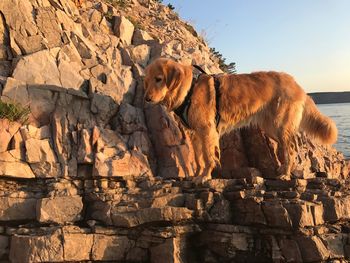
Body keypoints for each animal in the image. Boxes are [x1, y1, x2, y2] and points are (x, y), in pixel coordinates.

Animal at [144, 58, 338, 185]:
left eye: (159, 79)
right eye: (147, 80)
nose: (146, 99)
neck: (189, 89)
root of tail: (296, 83)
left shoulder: (207, 131)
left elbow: (208, 156)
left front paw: (205, 176)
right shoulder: (195, 133)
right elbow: (198, 158)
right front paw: (197, 174)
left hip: (280, 125)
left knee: (290, 149)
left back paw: (285, 175)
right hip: (271, 128)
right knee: (292, 147)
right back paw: (285, 170)